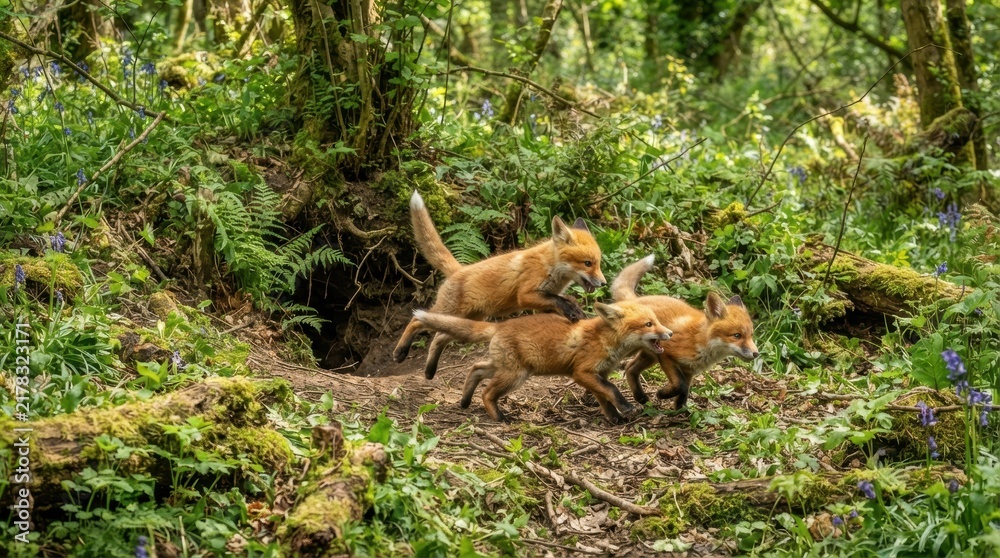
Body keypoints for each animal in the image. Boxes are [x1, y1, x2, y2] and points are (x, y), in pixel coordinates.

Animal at [394, 190, 607, 380]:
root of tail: (459, 270)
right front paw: (573, 310)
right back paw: (401, 352)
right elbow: (558, 299)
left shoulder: (543, 301)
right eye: (587, 263)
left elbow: (559, 302)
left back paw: (429, 371)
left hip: (467, 318)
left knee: (438, 338)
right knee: (417, 320)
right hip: (450, 311)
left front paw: (573, 312)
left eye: (598, 263)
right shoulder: (525, 295)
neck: (550, 266)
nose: (604, 282)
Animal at [411, 300, 672, 423]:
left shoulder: (598, 374)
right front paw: (627, 408)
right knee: (486, 392)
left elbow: (605, 398)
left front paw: (615, 418)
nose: (670, 333)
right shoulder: (582, 372)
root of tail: (500, 325)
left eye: (657, 321)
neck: (605, 341)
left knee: (475, 369)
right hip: (515, 376)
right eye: (649, 324)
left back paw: (465, 401)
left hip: (504, 368)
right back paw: (500, 417)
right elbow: (612, 390)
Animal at [611, 255, 759, 409]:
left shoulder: (688, 371)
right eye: (737, 336)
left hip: (650, 355)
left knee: (630, 368)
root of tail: (636, 300)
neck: (699, 340)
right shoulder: (667, 354)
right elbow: (679, 385)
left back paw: (641, 398)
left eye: (751, 335)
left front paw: (680, 410)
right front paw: (662, 394)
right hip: (636, 350)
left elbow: (684, 392)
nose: (756, 353)